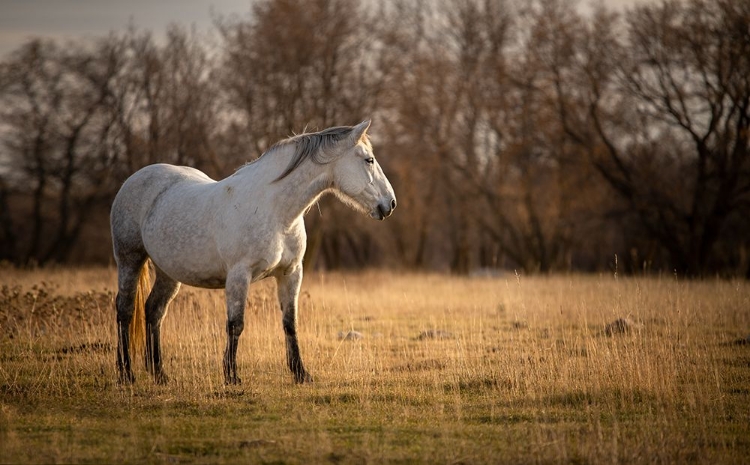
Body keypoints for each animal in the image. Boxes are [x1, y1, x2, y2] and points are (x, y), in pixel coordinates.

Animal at [110, 120, 400, 384]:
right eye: (369, 160)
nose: (390, 204)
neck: (275, 212)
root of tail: (133, 180)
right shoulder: (240, 275)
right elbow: (235, 324)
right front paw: (231, 376)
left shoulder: (291, 274)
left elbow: (290, 323)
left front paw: (301, 374)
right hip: (129, 259)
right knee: (125, 310)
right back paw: (126, 374)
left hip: (168, 273)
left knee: (154, 311)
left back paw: (159, 374)